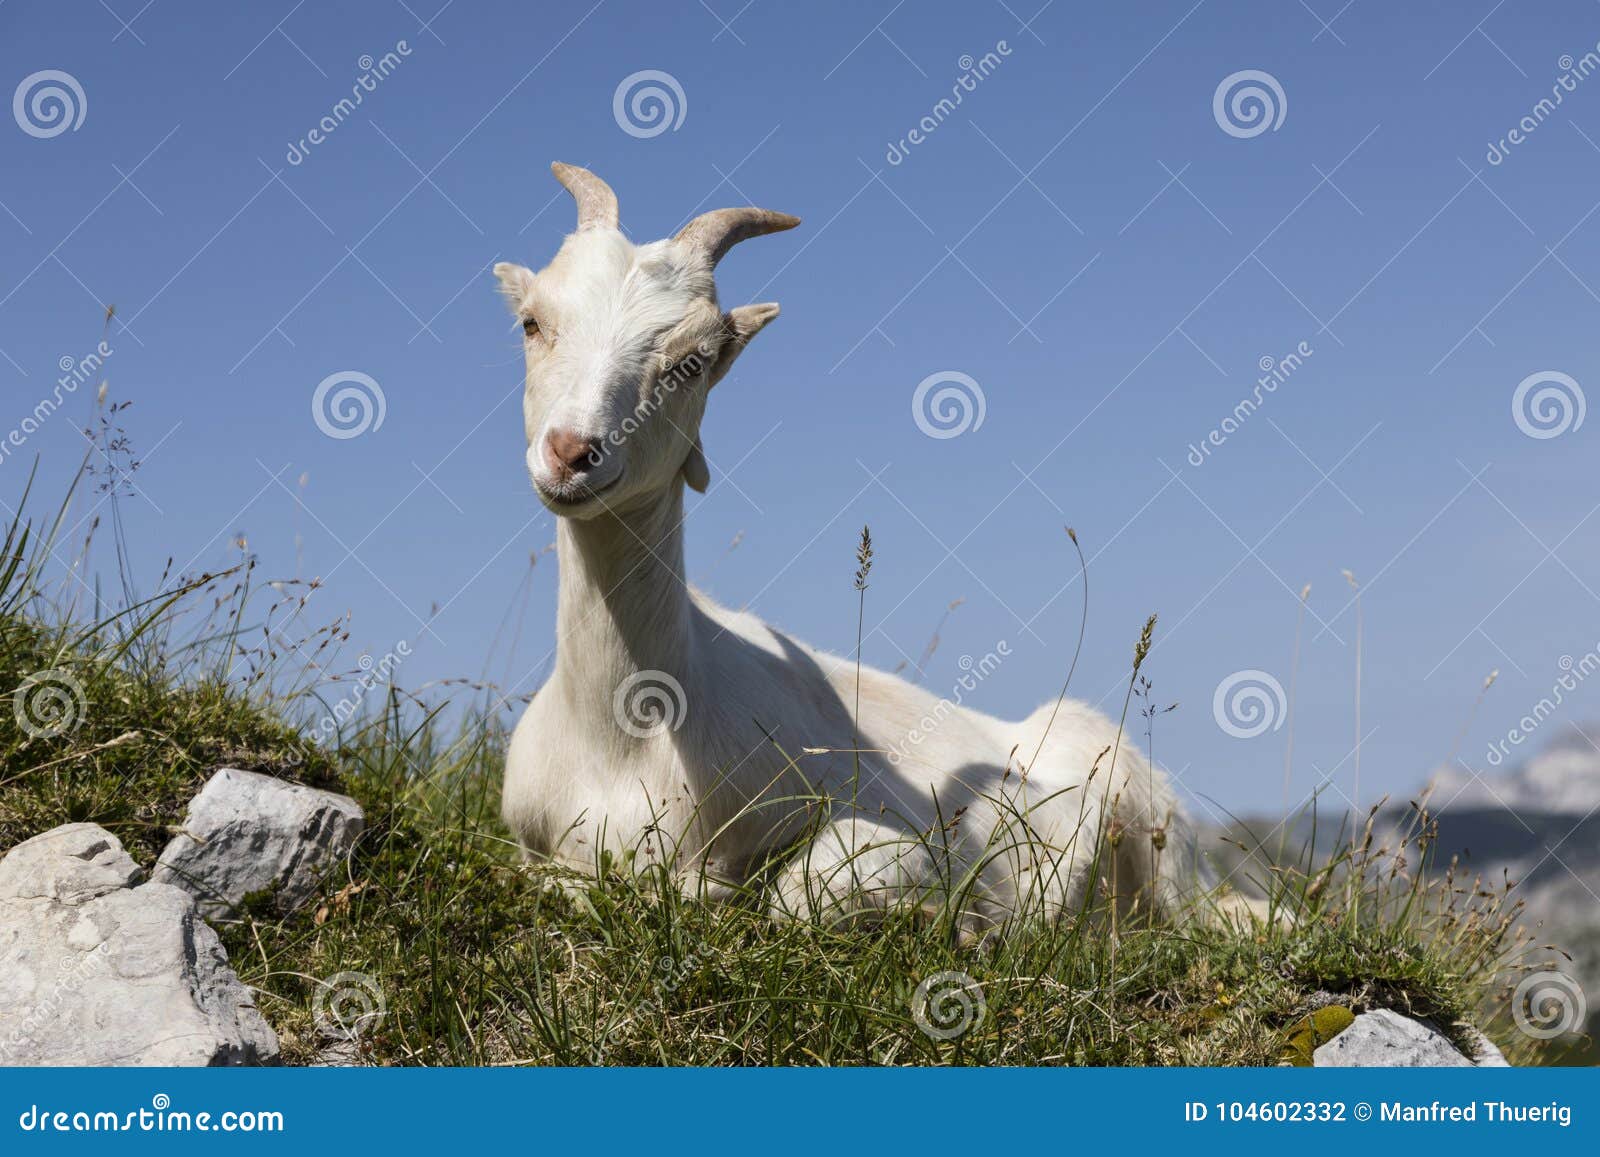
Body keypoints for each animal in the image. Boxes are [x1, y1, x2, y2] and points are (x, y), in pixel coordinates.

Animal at [492, 164, 1203, 940]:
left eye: (693, 361)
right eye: (532, 322)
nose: (571, 453)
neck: (623, 735)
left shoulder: (889, 825)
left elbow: (802, 889)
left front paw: (957, 920)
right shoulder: (526, 840)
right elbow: (551, 876)